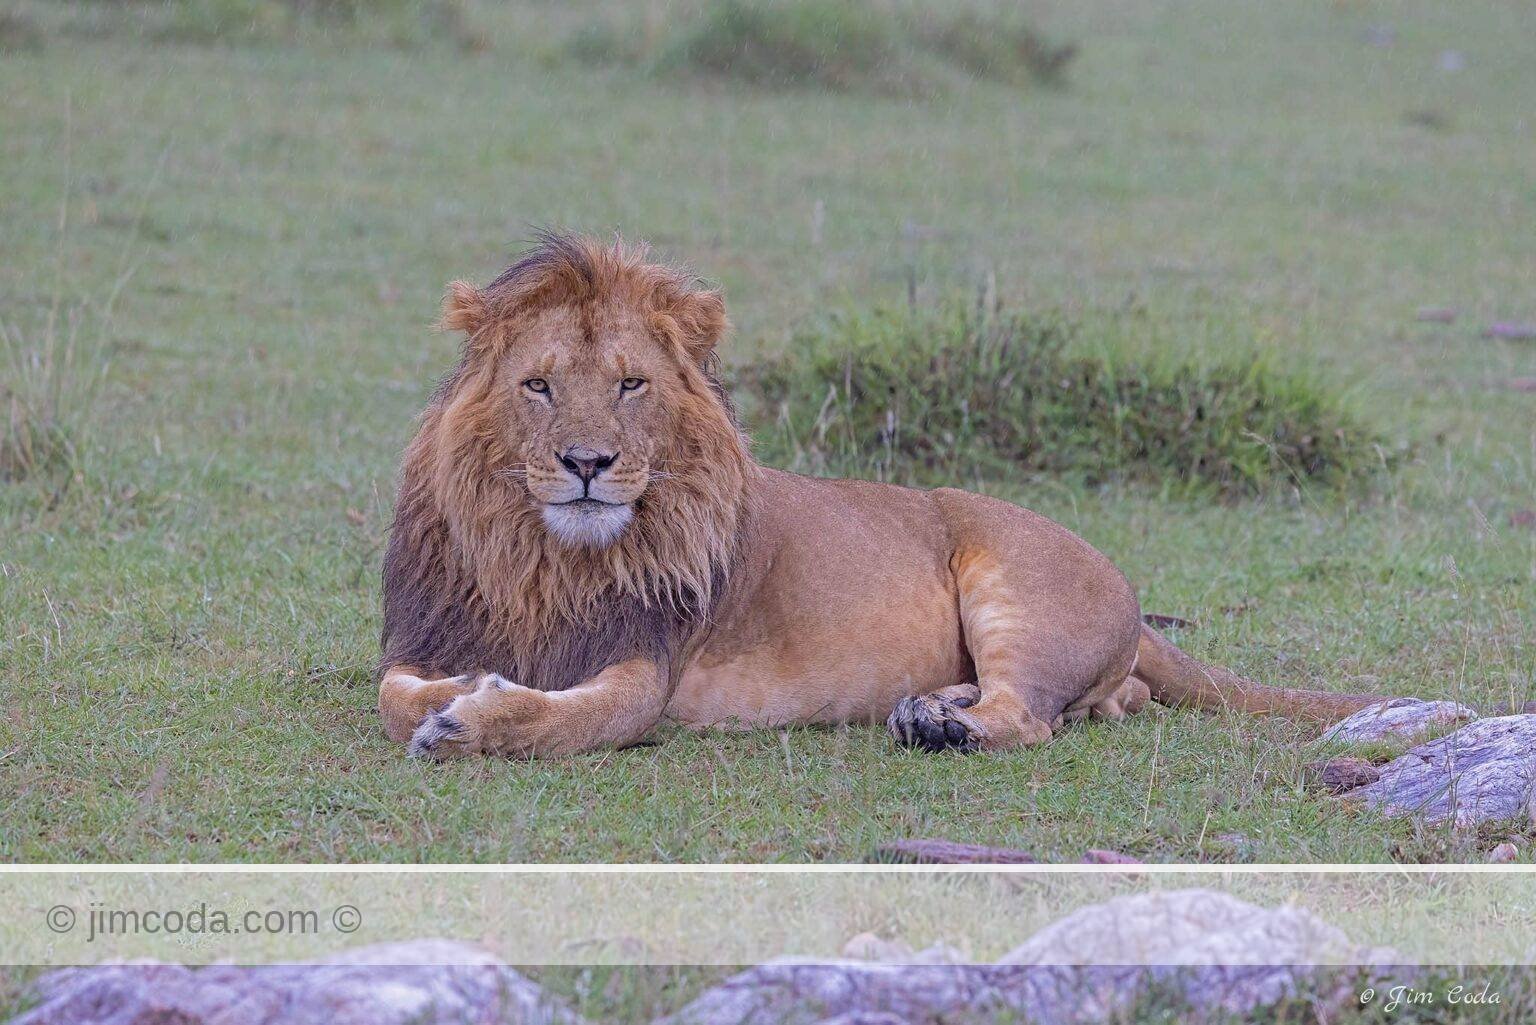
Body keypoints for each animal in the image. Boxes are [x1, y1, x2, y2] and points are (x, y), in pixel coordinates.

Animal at [380, 233, 1387, 760]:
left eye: (631, 385)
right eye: (539, 386)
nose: (588, 462)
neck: (542, 556)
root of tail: (1131, 596)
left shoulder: (647, 667)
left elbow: (571, 717)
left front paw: (468, 719)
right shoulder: (420, 633)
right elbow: (395, 693)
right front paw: (459, 687)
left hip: (1015, 580)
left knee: (1031, 716)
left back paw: (941, 727)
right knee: (1109, 702)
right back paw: (935, 705)